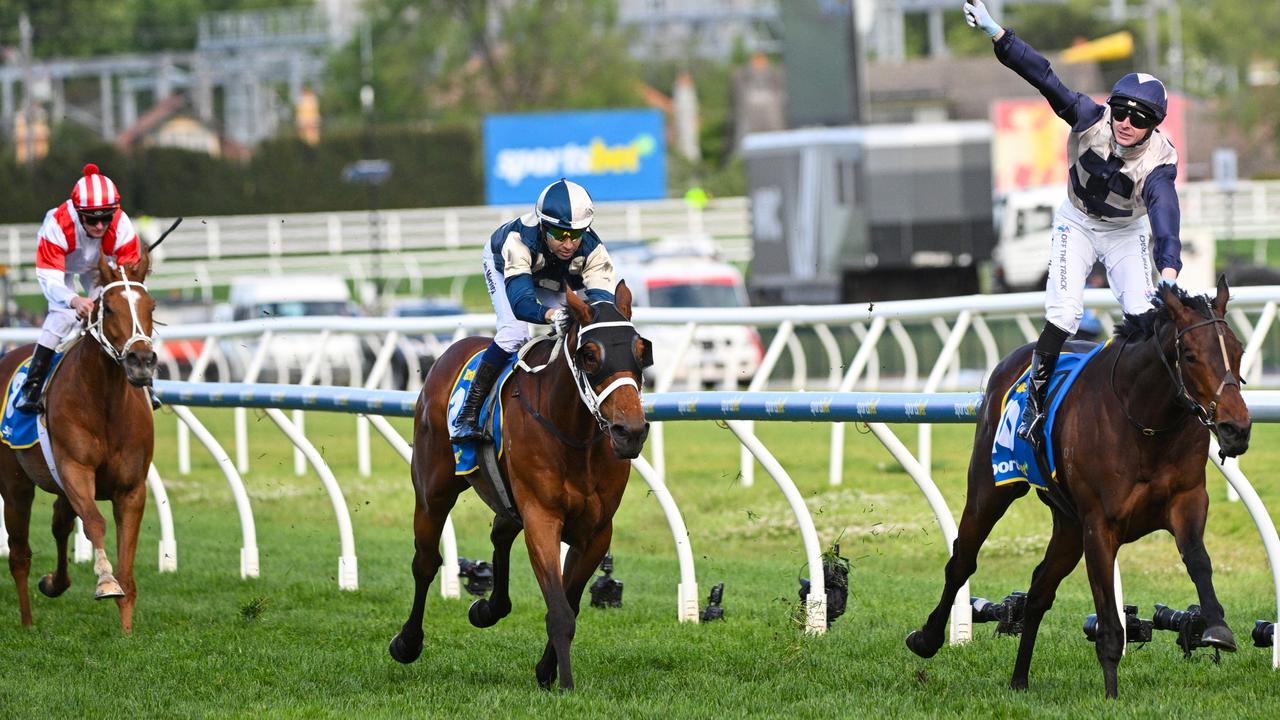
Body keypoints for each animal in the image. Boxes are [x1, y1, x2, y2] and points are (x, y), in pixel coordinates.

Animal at [0, 245, 158, 627]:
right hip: (15, 484)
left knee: (59, 523)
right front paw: (105, 581)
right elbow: (95, 523)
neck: (106, 405)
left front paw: (127, 631)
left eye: (152, 307)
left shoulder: (132, 488)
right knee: (20, 553)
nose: (142, 361)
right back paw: (27, 623)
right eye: (109, 308)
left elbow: (127, 568)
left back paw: (54, 583)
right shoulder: (75, 470)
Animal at [386, 281, 650, 691]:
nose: (630, 432)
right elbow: (560, 610)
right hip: (433, 492)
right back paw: (408, 642)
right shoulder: (542, 517)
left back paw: (488, 608)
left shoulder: (595, 531)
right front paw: (565, 684)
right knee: (426, 562)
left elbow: (570, 600)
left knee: (500, 532)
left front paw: (547, 670)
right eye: (589, 354)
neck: (573, 433)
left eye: (641, 351)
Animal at [906, 279, 1254, 696]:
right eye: (1189, 355)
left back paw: (1019, 679)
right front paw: (1111, 696)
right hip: (991, 490)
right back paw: (926, 639)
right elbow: (1108, 621)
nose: (1236, 428)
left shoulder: (1187, 500)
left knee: (1040, 589)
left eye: (1238, 350)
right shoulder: (1099, 525)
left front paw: (1216, 626)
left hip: (1068, 525)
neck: (1145, 421)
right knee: (962, 561)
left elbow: (1198, 559)